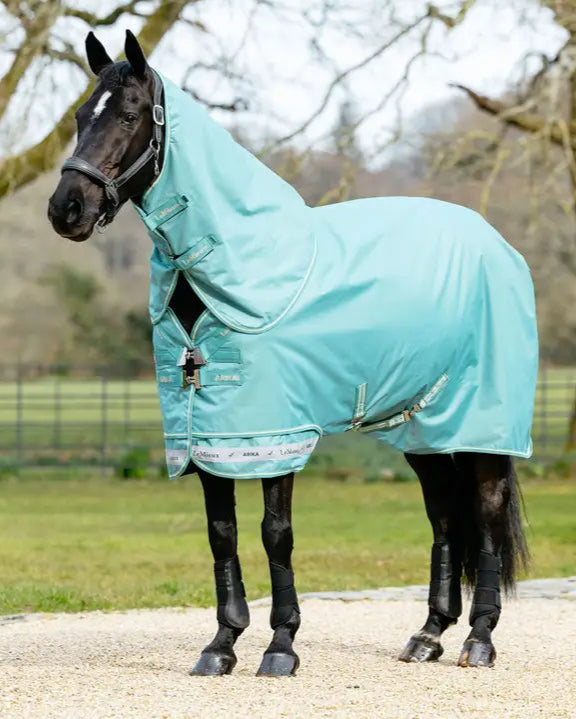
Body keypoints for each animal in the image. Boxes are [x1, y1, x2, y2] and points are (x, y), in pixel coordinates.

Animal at [48, 30, 536, 677]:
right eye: (81, 116)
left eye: (129, 115)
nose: (65, 209)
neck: (235, 268)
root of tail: (499, 247)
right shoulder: (208, 434)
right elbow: (222, 533)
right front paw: (221, 645)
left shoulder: (275, 432)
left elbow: (274, 532)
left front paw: (281, 645)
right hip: (422, 427)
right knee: (444, 515)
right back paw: (428, 634)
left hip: (483, 424)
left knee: (485, 513)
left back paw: (478, 640)